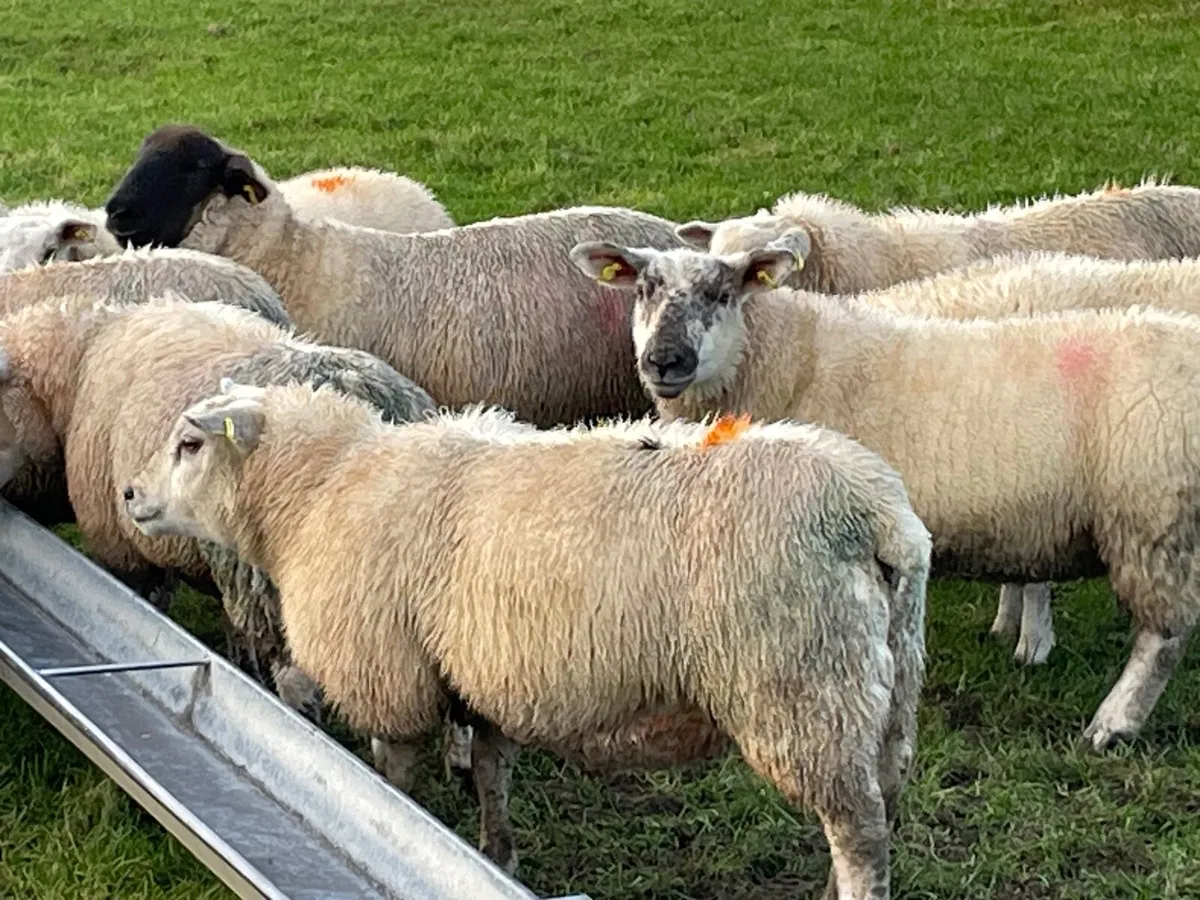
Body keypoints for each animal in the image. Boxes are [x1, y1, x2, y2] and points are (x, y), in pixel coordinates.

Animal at [122, 379, 930, 896]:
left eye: (190, 443)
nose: (129, 494)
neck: (317, 493)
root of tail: (875, 515)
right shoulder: (479, 677)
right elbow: (490, 774)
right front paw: (495, 854)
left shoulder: (389, 676)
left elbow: (391, 776)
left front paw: (390, 819)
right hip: (888, 688)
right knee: (879, 804)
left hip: (802, 689)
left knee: (859, 834)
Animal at [571, 241, 1200, 753]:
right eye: (644, 290)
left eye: (722, 293)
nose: (665, 361)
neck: (790, 361)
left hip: (1152, 518)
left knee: (1163, 636)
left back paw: (1112, 724)